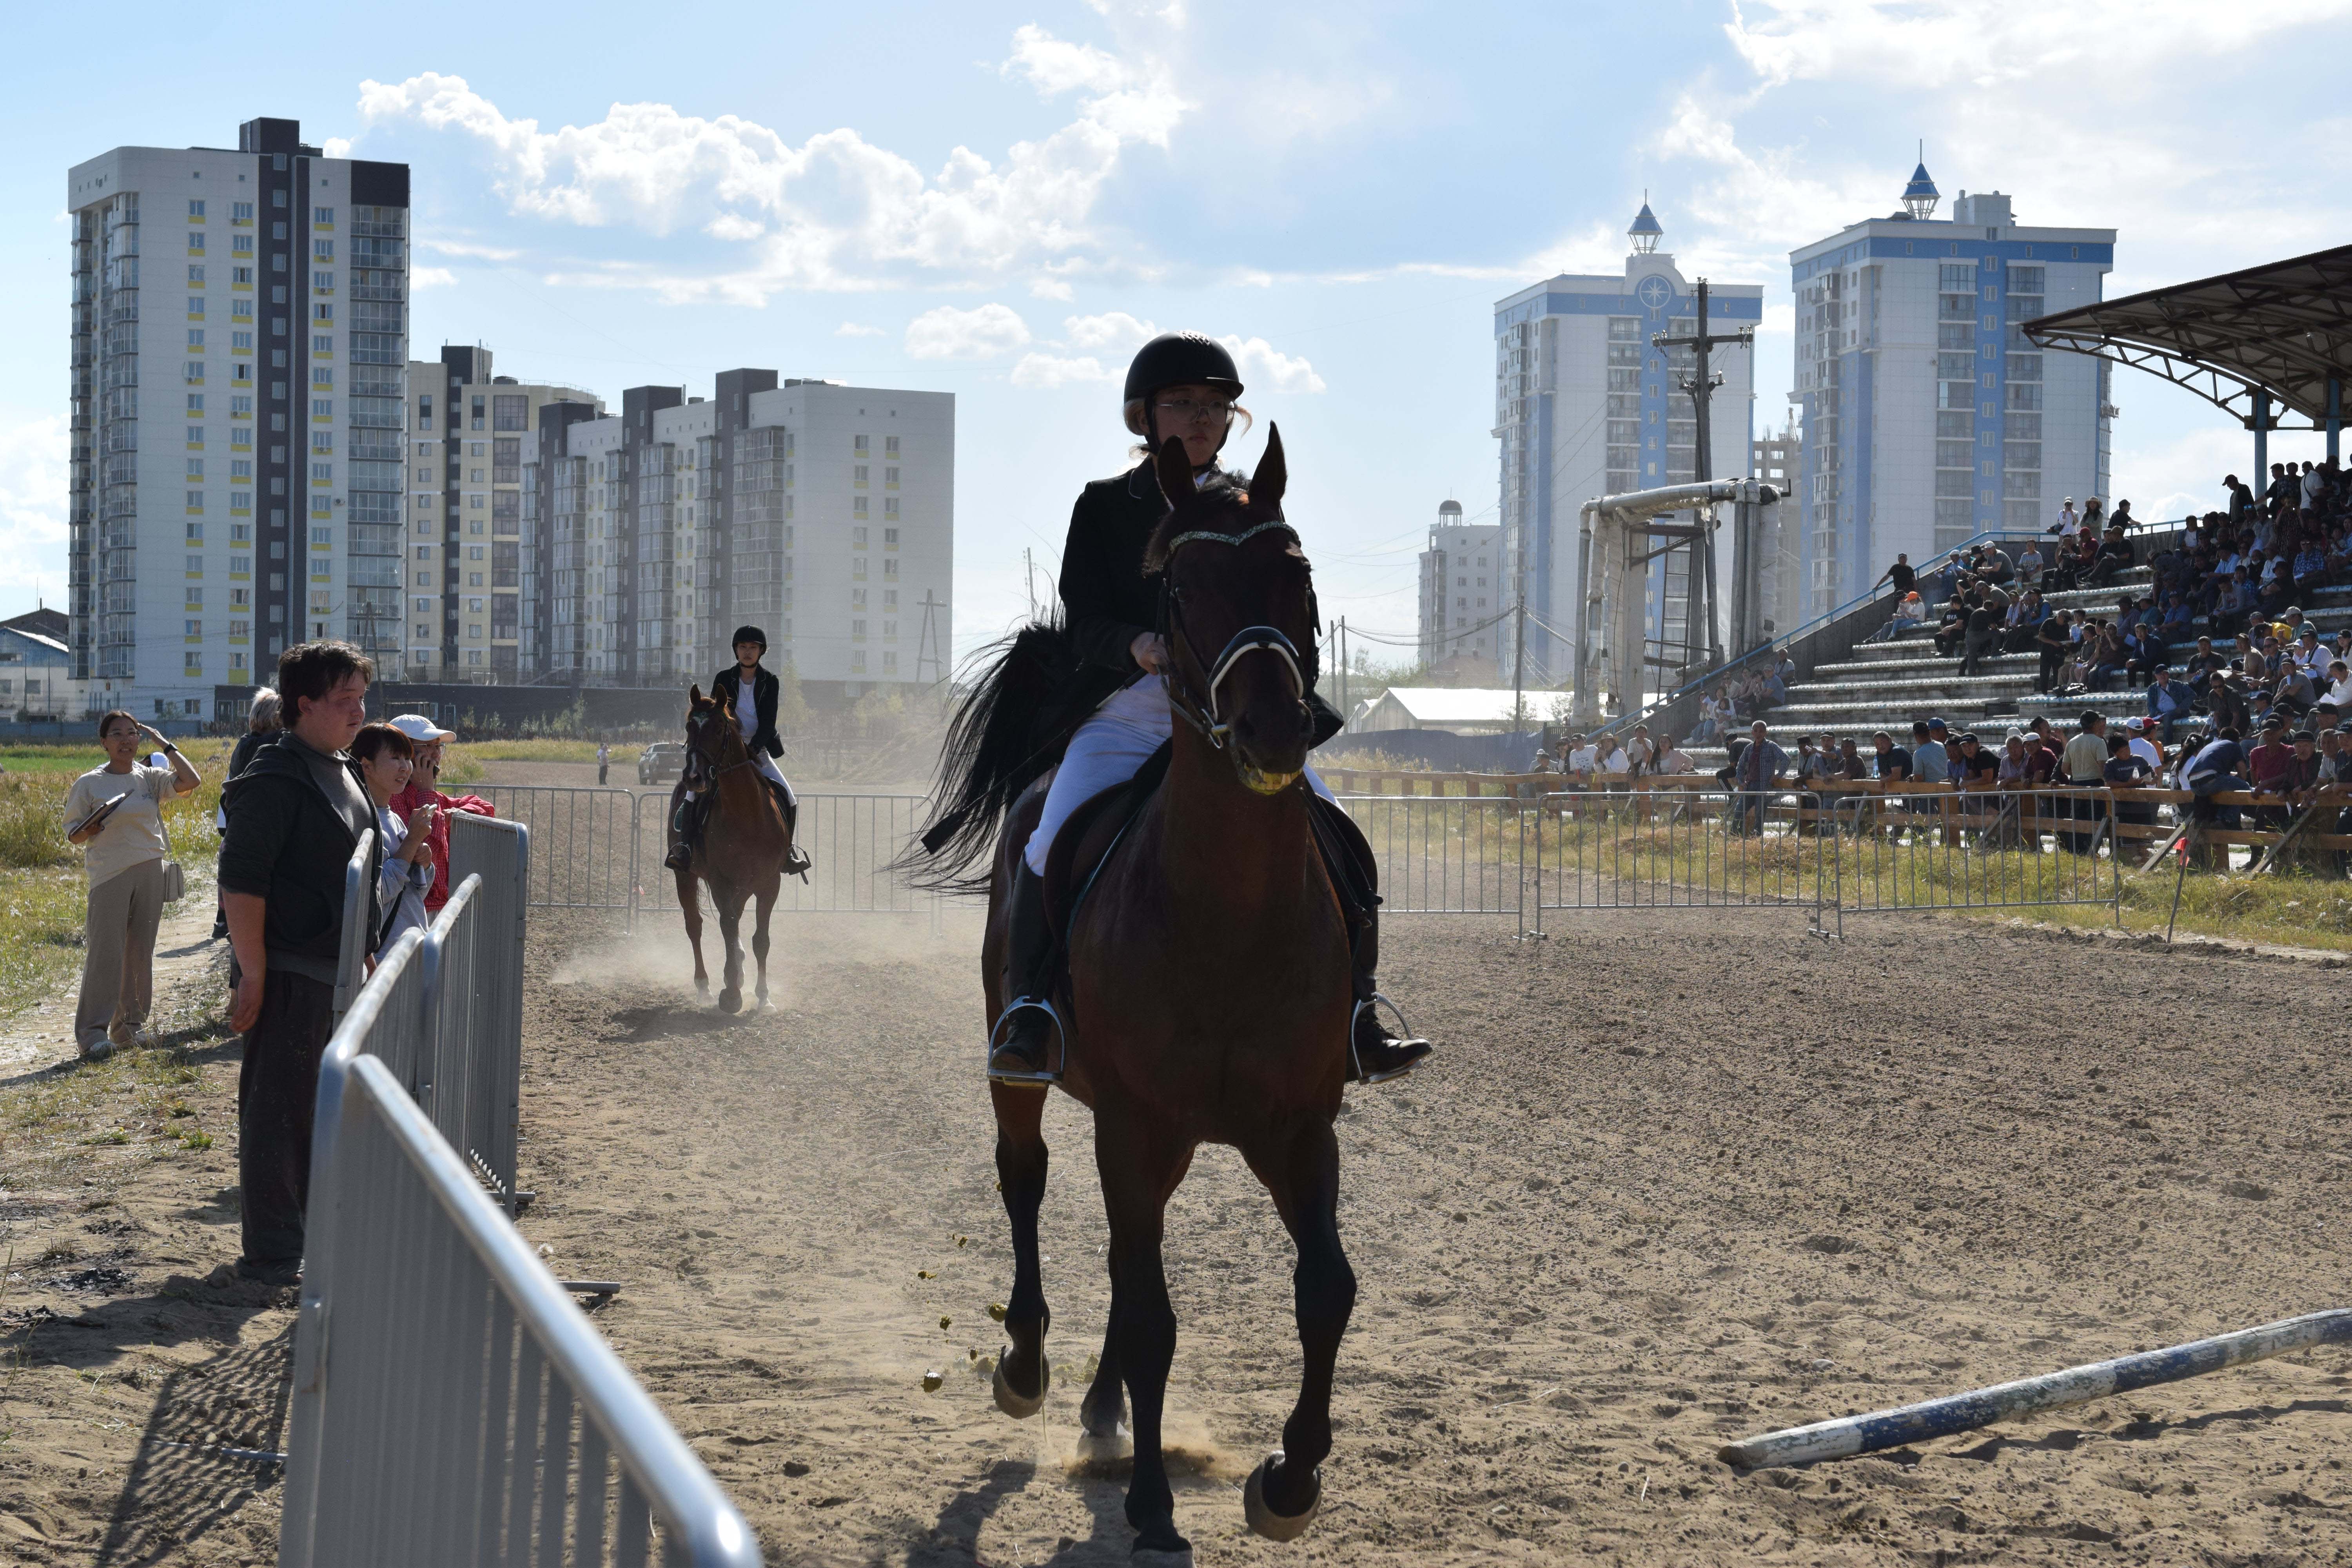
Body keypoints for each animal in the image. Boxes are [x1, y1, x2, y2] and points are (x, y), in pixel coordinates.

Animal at [675, 685, 791, 1013]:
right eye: (689, 727)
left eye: (718, 727)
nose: (694, 777)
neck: (745, 813)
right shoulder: (720, 881)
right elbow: (727, 927)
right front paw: (731, 994)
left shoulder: (769, 883)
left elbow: (760, 939)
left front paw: (763, 997)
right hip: (685, 877)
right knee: (696, 926)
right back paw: (705, 987)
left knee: (736, 921)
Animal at [923, 428, 1356, 1564]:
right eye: (1181, 589)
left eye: (1297, 576)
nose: (1275, 731)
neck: (1231, 910)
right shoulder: (1137, 1120)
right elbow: (1155, 1312)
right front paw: (1156, 1505)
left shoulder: (1298, 1125)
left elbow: (1326, 1290)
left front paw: (1290, 1480)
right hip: (1034, 1076)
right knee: (1027, 1182)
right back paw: (1030, 1371)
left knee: (1131, 1256)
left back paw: (1103, 1411)